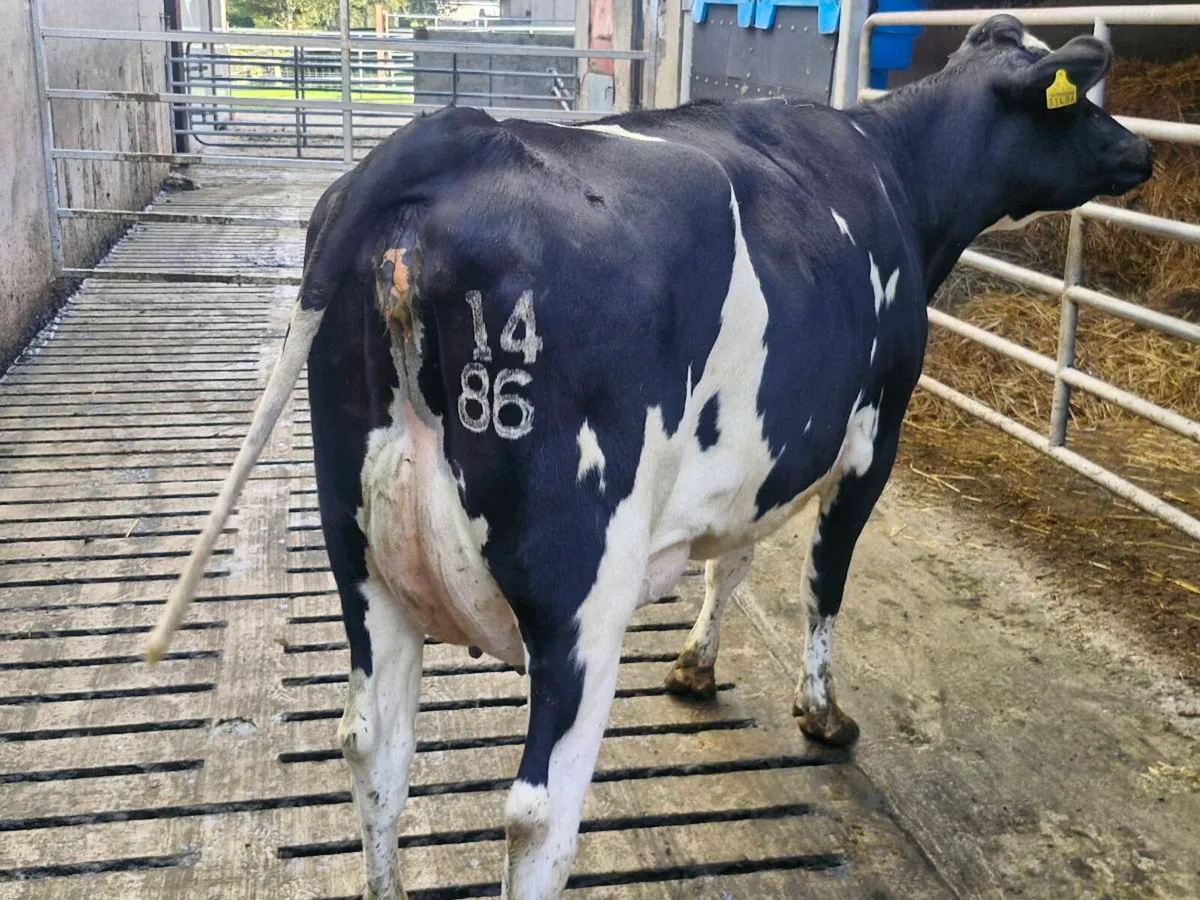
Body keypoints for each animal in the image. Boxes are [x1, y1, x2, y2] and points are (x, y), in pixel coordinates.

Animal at [147, 15, 1152, 900]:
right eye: (1081, 102)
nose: (1142, 152)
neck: (894, 172)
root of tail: (458, 137)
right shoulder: (875, 432)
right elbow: (823, 581)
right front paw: (821, 712)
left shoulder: (757, 455)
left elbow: (731, 558)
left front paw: (696, 666)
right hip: (581, 589)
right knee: (536, 818)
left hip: (362, 556)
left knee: (374, 748)